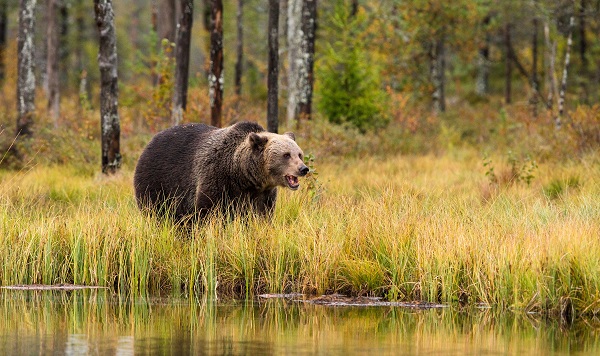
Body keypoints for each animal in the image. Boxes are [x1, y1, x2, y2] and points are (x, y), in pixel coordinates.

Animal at [133, 122, 308, 221]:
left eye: (299, 154)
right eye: (286, 155)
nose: (303, 168)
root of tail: (151, 141)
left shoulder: (263, 194)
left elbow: (262, 215)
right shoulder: (217, 178)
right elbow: (207, 211)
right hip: (158, 182)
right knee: (156, 211)